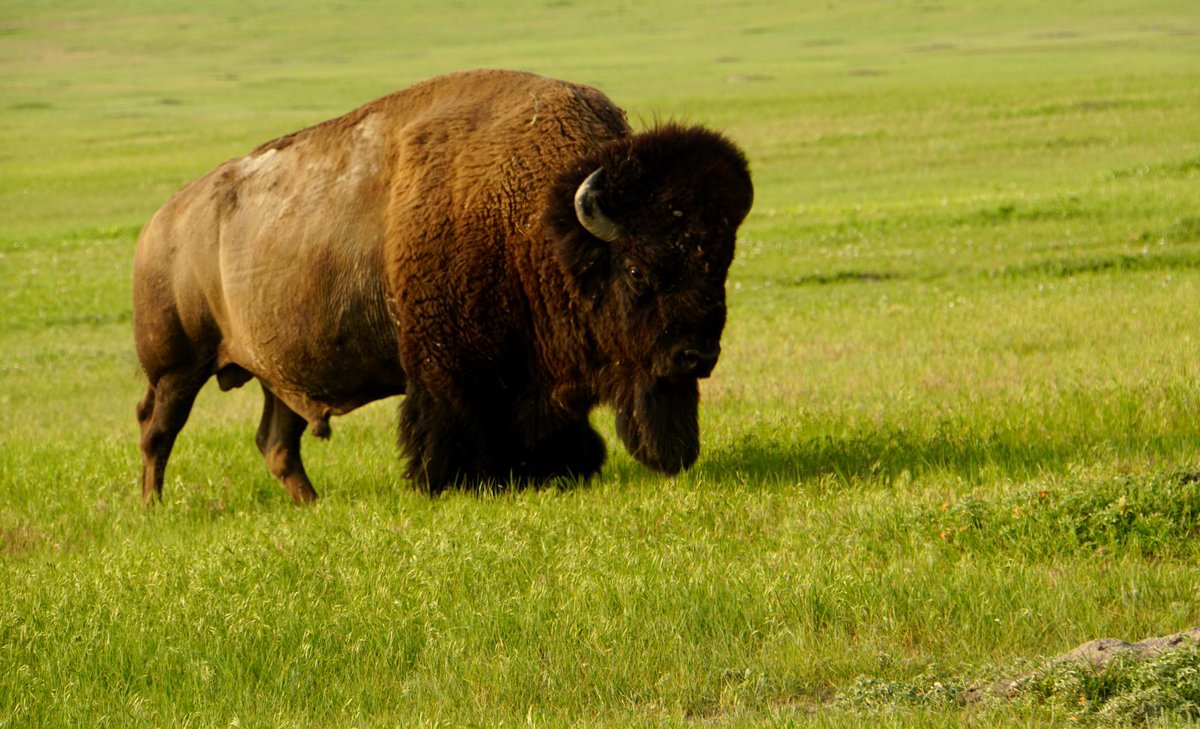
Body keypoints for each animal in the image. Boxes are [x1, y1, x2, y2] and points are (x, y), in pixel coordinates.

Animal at [133, 69, 753, 502]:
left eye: (719, 263)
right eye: (636, 270)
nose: (696, 355)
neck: (536, 220)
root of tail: (160, 223)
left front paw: (560, 468)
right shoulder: (446, 367)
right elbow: (451, 424)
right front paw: (449, 482)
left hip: (274, 375)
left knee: (276, 442)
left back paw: (312, 504)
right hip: (176, 368)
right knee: (157, 429)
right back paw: (153, 508)